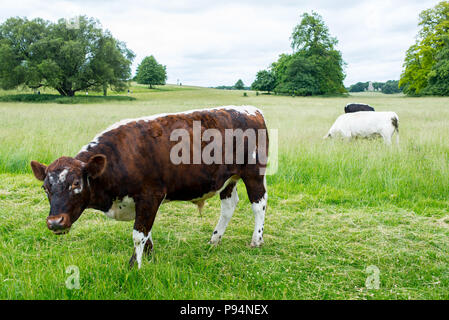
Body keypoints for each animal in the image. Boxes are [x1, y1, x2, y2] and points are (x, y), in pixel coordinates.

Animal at [32, 106, 270, 268]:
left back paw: (256, 240)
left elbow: (139, 234)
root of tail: (252, 110)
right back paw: (214, 239)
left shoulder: (150, 195)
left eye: (76, 183)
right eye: (45, 188)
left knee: (259, 204)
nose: (55, 222)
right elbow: (147, 232)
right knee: (229, 206)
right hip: (228, 179)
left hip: (253, 173)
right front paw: (149, 256)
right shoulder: (142, 203)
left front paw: (134, 267)